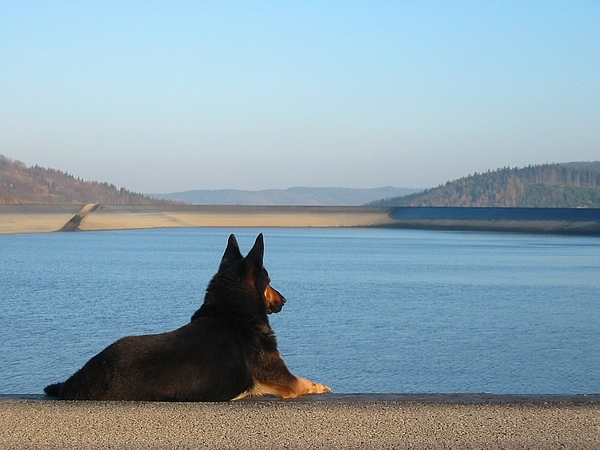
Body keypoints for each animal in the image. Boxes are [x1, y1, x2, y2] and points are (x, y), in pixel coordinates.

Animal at [44, 232, 330, 400]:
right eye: (269, 281)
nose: (284, 300)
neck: (231, 312)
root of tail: (73, 384)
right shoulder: (286, 382)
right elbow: (304, 383)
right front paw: (321, 386)